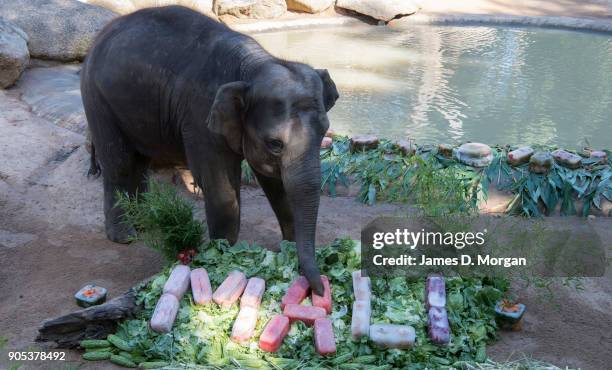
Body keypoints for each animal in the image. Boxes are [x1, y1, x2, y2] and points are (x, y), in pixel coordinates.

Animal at [80, 4, 340, 294]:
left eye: (324, 131)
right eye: (275, 143)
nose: (320, 290)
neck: (254, 67)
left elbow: (275, 183)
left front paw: (289, 248)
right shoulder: (200, 116)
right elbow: (220, 186)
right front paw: (222, 255)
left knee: (140, 161)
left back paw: (145, 220)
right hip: (96, 98)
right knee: (120, 163)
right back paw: (124, 236)